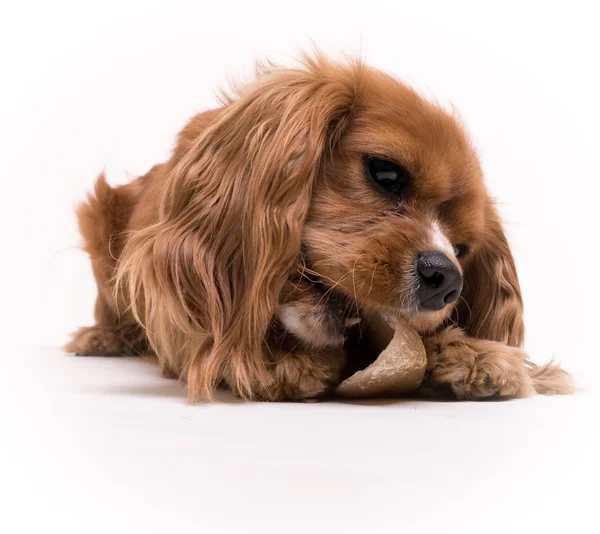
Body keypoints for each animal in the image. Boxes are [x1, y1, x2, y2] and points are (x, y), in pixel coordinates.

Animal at [64, 54, 572, 404]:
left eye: (462, 248)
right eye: (386, 173)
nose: (446, 278)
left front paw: (475, 354)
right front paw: (276, 361)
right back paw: (104, 337)